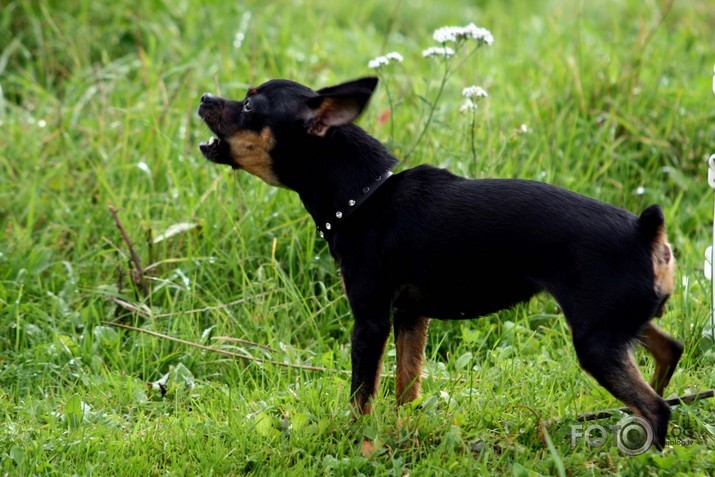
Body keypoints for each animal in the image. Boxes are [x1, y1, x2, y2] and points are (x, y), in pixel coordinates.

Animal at [196, 75, 684, 446]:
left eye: (248, 106)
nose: (203, 98)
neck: (365, 197)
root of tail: (645, 232)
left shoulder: (370, 321)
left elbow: (361, 394)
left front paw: (355, 442)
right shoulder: (411, 316)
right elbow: (405, 385)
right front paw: (402, 432)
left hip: (596, 341)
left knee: (658, 409)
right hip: (617, 326)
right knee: (668, 354)